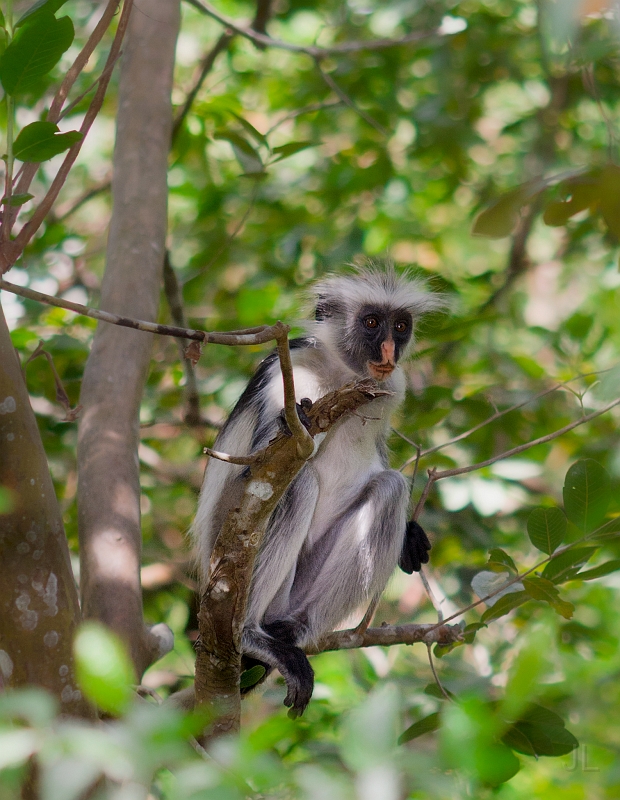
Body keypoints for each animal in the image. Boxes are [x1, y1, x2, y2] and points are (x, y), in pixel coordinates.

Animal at [191, 264, 444, 720]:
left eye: (400, 326)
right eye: (371, 322)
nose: (388, 350)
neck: (344, 374)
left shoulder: (389, 387)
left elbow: (382, 463)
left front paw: (411, 536)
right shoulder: (290, 376)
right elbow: (257, 466)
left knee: (391, 487)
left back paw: (292, 630)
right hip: (224, 547)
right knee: (297, 482)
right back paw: (253, 637)